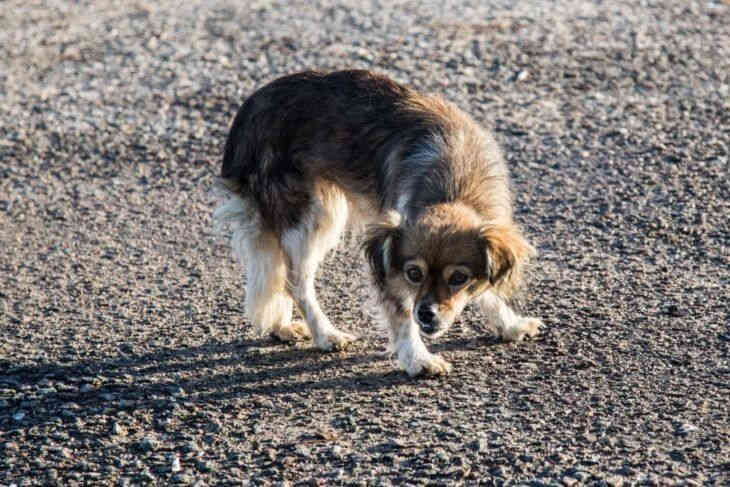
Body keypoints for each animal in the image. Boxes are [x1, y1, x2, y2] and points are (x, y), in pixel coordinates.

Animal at [210, 70, 540, 378]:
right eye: (413, 274)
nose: (427, 314)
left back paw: (282, 326)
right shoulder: (389, 261)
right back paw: (325, 334)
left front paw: (509, 323)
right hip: (312, 214)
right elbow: (401, 314)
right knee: (295, 280)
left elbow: (489, 289)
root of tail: (249, 109)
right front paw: (418, 359)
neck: (455, 187)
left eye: (459, 277)